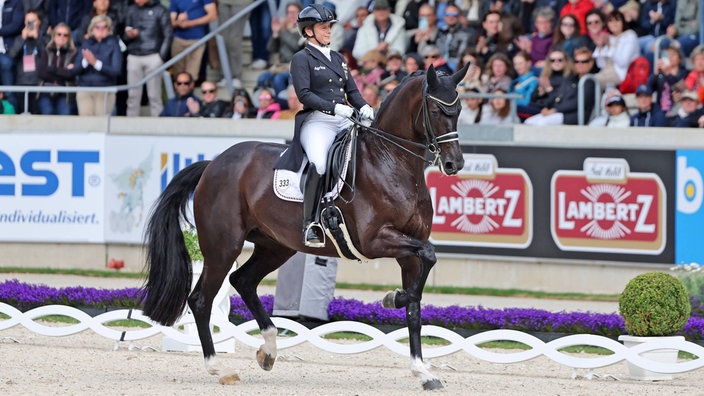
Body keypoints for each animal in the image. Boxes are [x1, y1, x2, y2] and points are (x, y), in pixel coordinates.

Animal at [141, 63, 470, 392]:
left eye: (458, 109)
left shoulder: (407, 251)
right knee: (201, 300)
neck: (390, 163)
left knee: (243, 281)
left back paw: (268, 351)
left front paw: (423, 371)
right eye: (435, 109)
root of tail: (213, 164)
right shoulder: (374, 240)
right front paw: (394, 298)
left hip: (275, 246)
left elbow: (416, 302)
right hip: (223, 247)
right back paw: (219, 368)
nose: (454, 164)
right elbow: (427, 260)